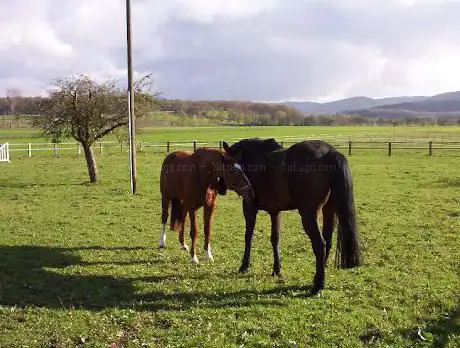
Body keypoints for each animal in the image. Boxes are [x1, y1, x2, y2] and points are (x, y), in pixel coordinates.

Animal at [224, 137, 362, 294]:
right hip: (329, 209)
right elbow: (275, 239)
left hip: (308, 213)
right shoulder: (275, 211)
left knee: (320, 243)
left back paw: (318, 284)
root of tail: (331, 152)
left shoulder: (249, 207)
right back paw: (321, 273)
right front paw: (276, 270)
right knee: (328, 239)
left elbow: (248, 236)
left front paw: (244, 266)